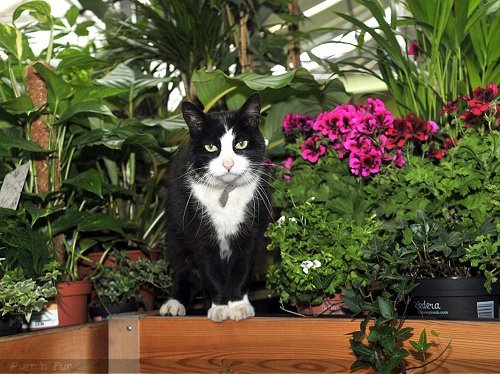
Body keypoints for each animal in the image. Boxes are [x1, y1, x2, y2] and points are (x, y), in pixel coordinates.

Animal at [159, 93, 270, 322]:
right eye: (211, 147)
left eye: (241, 143)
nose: (228, 164)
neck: (225, 193)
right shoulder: (198, 231)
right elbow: (209, 269)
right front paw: (219, 307)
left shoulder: (251, 230)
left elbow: (243, 267)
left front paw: (238, 305)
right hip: (175, 234)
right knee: (184, 270)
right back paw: (174, 304)